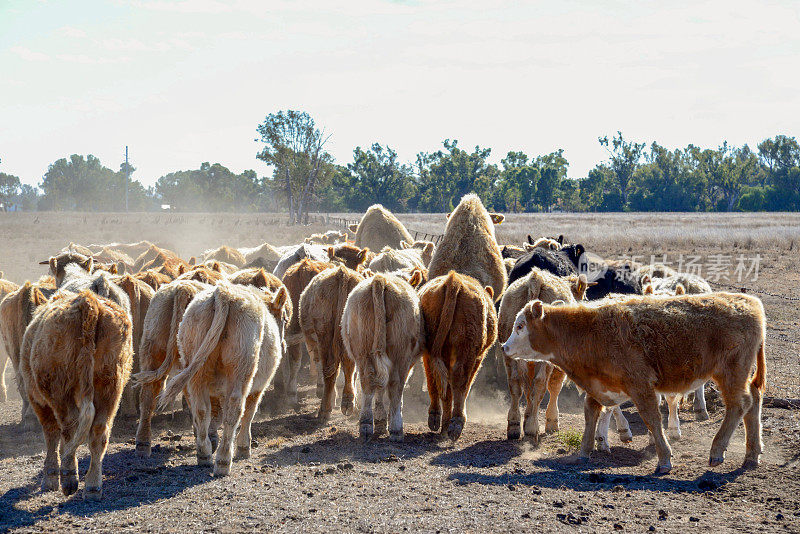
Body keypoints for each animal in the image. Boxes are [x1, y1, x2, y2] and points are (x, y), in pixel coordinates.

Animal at [19, 292, 133, 500]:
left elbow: (51, 434)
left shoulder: (38, 400)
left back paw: (69, 476)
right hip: (110, 384)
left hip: (60, 388)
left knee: (69, 426)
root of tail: (87, 301)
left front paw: (50, 478)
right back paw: (93, 486)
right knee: (99, 430)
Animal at [298, 266, 364, 420]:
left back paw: (325, 409)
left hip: (324, 332)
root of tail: (342, 272)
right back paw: (348, 402)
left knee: (329, 368)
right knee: (349, 365)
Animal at [340, 272, 424, 444]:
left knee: (368, 382)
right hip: (401, 354)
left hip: (363, 350)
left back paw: (366, 425)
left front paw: (379, 420)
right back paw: (396, 429)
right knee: (395, 386)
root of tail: (381, 279)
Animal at [418, 274, 494, 442]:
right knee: (458, 381)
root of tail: (454, 279)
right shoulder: (478, 357)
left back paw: (439, 422)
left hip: (434, 347)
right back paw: (455, 424)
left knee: (436, 380)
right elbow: (467, 384)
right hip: (465, 347)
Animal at [500, 296, 768, 476]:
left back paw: (717, 451)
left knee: (740, 404)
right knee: (753, 400)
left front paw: (664, 459)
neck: (588, 331)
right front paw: (584, 452)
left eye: (520, 326)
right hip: (741, 373)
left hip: (730, 371)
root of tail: (750, 302)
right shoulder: (598, 385)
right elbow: (590, 415)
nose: (504, 346)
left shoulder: (640, 385)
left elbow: (651, 418)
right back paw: (751, 455)